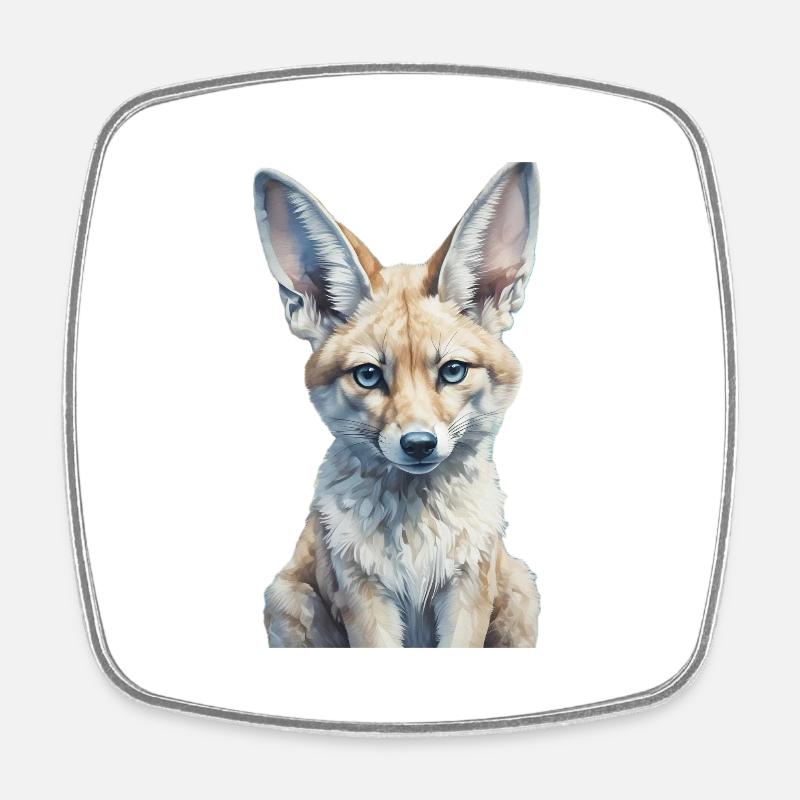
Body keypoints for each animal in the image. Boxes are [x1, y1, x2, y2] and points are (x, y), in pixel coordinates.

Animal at [253, 162, 541, 647]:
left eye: (452, 371)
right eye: (369, 375)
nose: (419, 444)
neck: (416, 538)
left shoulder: (468, 589)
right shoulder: (363, 595)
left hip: (522, 590)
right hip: (286, 599)